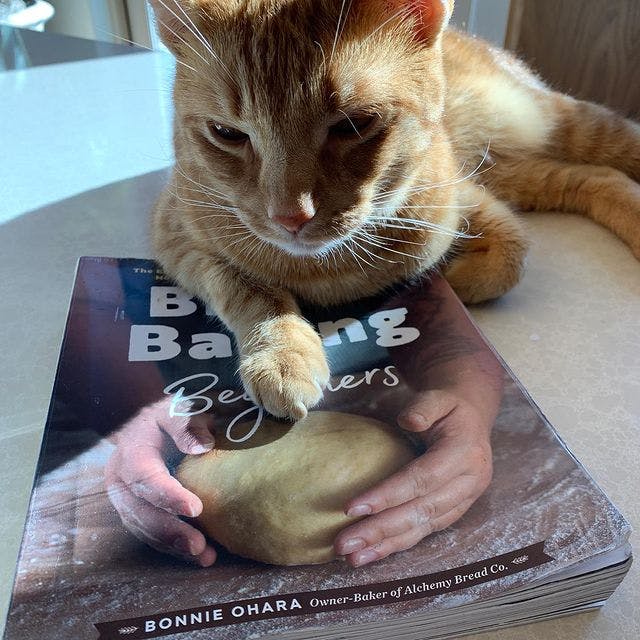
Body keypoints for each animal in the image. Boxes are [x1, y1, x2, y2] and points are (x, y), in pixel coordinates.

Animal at [149, 1, 640, 420]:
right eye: (226, 133)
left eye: (353, 124)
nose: (291, 217)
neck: (332, 269)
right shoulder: (176, 239)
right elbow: (245, 288)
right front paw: (283, 351)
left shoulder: (460, 198)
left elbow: (511, 257)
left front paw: (456, 281)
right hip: (519, 171)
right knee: (596, 179)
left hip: (566, 125)